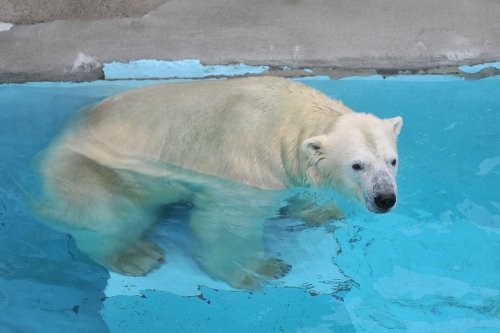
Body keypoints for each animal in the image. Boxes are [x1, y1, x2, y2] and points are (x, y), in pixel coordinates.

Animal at [35, 76, 402, 290]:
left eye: (392, 160)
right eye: (357, 165)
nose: (385, 198)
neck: (287, 118)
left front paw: (324, 214)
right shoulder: (248, 167)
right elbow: (229, 224)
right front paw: (261, 270)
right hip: (90, 171)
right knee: (108, 215)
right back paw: (136, 255)